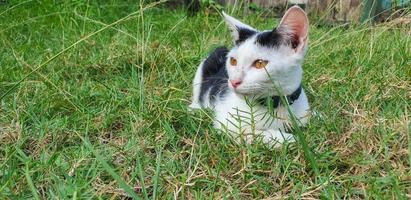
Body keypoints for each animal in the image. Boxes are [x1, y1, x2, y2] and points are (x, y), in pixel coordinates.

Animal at [192, 6, 310, 146]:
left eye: (260, 63)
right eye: (233, 61)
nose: (234, 81)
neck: (277, 104)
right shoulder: (225, 121)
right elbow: (249, 132)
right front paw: (287, 138)